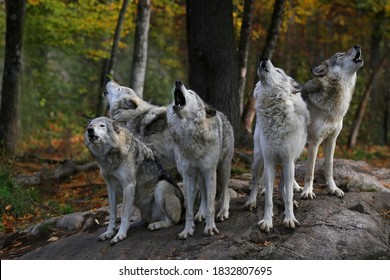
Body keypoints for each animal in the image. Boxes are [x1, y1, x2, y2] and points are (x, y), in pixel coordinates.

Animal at [165, 80, 233, 238]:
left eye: (191, 93)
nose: (178, 82)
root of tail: (223, 114)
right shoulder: (188, 176)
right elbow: (190, 209)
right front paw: (187, 230)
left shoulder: (210, 173)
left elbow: (211, 206)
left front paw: (210, 228)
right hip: (199, 177)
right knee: (204, 196)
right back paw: (200, 214)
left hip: (223, 170)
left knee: (226, 192)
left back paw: (223, 213)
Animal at [245, 57, 310, 232]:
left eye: (279, 71)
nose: (264, 58)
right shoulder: (269, 162)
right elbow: (268, 197)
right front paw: (267, 221)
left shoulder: (288, 161)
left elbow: (287, 195)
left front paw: (289, 218)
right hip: (259, 159)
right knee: (255, 181)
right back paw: (251, 202)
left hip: (292, 162)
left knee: (283, 187)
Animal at [300, 44, 364, 200]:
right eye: (340, 56)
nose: (357, 45)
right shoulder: (315, 142)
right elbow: (310, 171)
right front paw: (308, 191)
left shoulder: (331, 140)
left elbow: (329, 168)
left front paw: (333, 189)